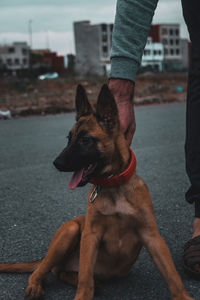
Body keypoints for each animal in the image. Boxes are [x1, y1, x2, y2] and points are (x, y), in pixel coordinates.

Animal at [0, 84, 194, 300]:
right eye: (69, 138)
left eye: (85, 140)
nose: (56, 163)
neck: (114, 187)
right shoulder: (90, 236)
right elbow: (85, 278)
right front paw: (82, 295)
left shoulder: (152, 237)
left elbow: (172, 274)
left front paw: (183, 296)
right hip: (70, 231)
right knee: (43, 270)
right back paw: (35, 286)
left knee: (61, 272)